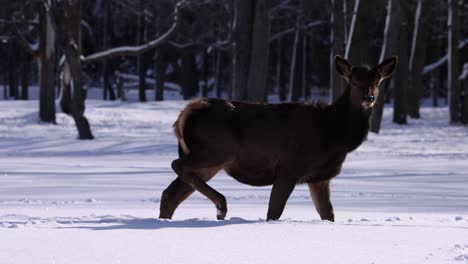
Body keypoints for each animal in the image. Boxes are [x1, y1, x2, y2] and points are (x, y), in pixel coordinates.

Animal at [159, 55, 396, 221]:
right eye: (353, 82)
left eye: (377, 81)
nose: (368, 97)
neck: (334, 135)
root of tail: (184, 115)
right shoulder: (290, 167)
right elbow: (274, 212)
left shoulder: (319, 178)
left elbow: (328, 215)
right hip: (216, 149)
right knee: (176, 164)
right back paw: (221, 206)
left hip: (212, 161)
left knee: (171, 194)